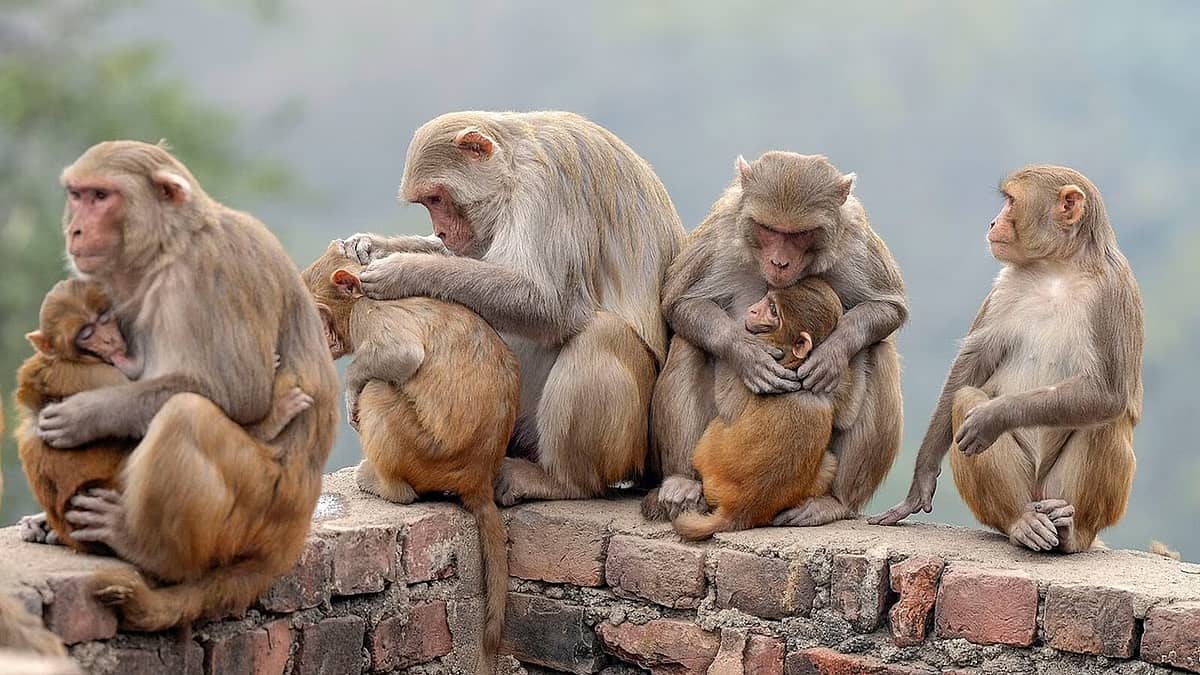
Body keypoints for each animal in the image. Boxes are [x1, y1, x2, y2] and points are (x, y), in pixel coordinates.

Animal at [301, 243, 518, 672]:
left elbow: (400, 355)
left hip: (423, 453)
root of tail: (477, 477)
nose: (317, 339)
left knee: (378, 391)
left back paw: (385, 486)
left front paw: (349, 389)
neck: (359, 296)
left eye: (320, 315)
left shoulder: (371, 316)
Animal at [336, 111, 685, 505]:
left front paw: (403, 270)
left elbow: (549, 304)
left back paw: (560, 481)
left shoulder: (545, 186)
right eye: (427, 202)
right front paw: (370, 246)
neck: (514, 165)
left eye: (437, 198)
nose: (441, 233)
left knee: (600, 332)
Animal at [670, 278, 852, 541]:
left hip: (709, 460)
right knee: (829, 462)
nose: (754, 309)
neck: (792, 361)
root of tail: (741, 509)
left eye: (773, 310)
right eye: (768, 299)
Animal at [871, 165, 1142, 554]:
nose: (992, 222)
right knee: (965, 398)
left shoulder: (1115, 289)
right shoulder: (1006, 286)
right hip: (1024, 494)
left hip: (1074, 497)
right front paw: (922, 477)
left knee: (1103, 416)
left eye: (1011, 201)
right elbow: (972, 366)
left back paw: (1070, 531)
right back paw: (1021, 522)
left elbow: (1108, 391)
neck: (1058, 269)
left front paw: (994, 417)